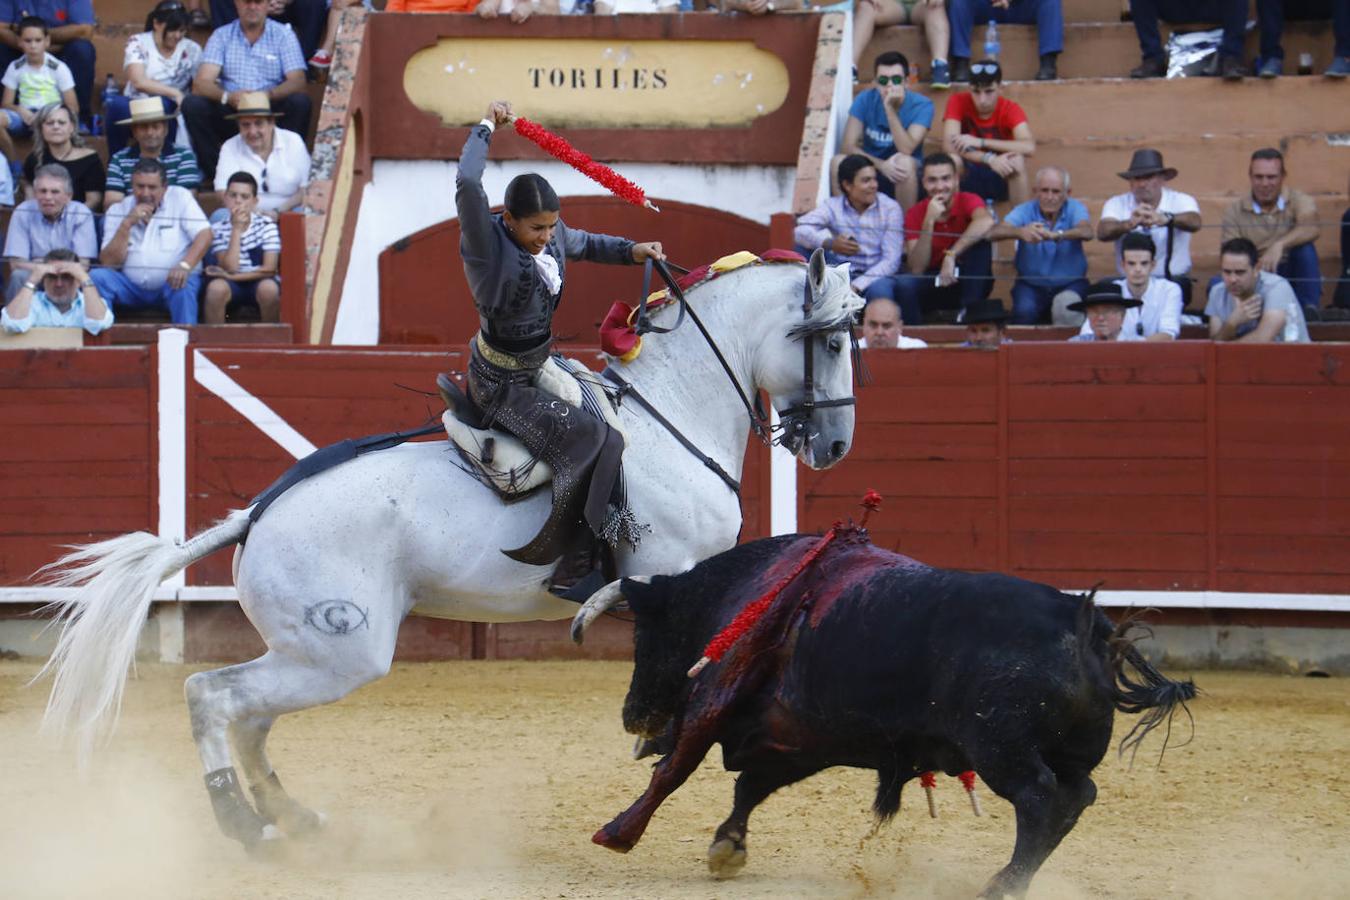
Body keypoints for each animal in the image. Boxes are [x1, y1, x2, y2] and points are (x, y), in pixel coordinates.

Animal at [36, 249, 858, 847]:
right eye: (833, 340)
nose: (836, 446)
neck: (672, 416)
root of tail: (258, 514)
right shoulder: (671, 577)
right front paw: (659, 733)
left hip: (305, 651)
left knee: (247, 716)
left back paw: (290, 818)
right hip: (341, 653)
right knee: (212, 696)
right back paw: (244, 825)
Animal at [591, 531, 1193, 895]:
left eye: (644, 635)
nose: (632, 714)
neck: (749, 591)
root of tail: (1083, 620)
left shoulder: (715, 702)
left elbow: (674, 770)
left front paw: (617, 833)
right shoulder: (797, 738)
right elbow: (750, 788)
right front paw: (727, 848)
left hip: (1000, 749)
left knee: (1042, 800)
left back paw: (1001, 884)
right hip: (1067, 752)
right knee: (1077, 797)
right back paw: (1012, 881)